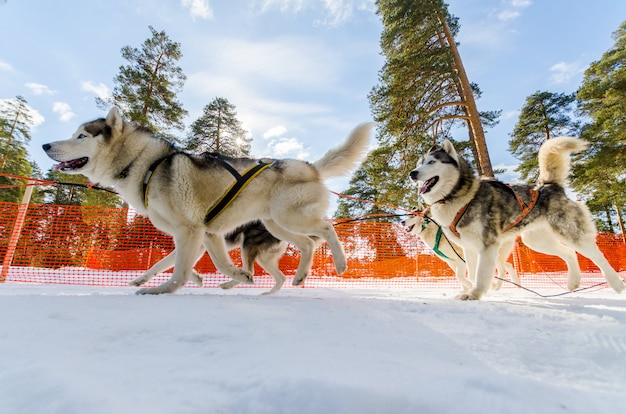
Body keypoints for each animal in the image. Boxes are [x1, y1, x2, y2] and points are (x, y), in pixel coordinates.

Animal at [44, 106, 370, 294]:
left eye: (82, 136)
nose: (46, 144)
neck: (148, 165)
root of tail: (310, 166)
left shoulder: (190, 231)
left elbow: (179, 270)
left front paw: (160, 291)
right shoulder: (205, 234)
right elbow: (189, 263)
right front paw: (229, 277)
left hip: (289, 218)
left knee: (327, 228)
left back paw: (341, 263)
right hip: (277, 224)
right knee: (309, 245)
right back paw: (298, 277)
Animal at [408, 137, 620, 300]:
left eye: (432, 162)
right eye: (419, 164)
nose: (412, 173)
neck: (460, 197)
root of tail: (548, 185)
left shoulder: (487, 245)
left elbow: (481, 274)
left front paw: (475, 294)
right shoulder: (469, 249)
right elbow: (473, 273)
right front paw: (475, 290)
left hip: (568, 232)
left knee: (597, 255)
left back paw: (617, 283)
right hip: (536, 241)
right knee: (570, 253)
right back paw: (573, 282)